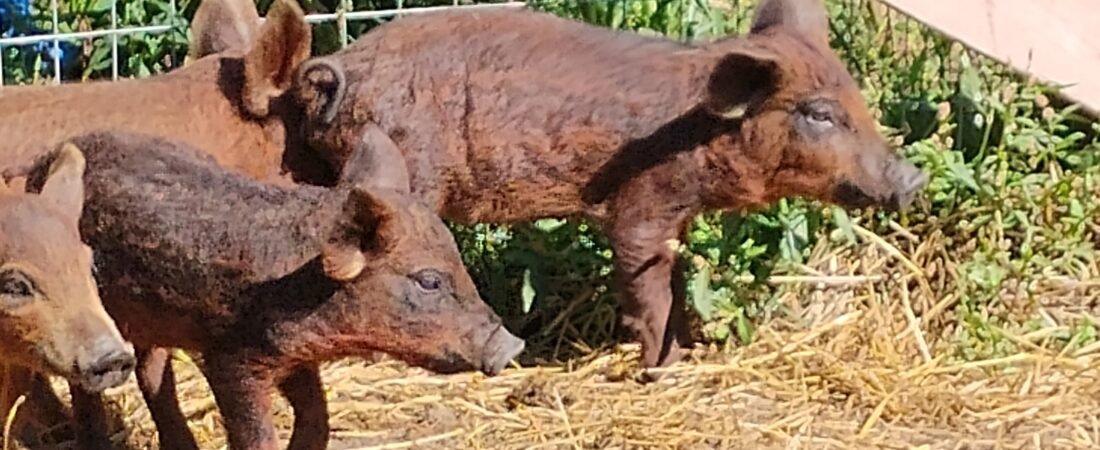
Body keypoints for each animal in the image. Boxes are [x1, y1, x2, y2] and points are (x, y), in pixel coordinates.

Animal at [291, 0, 929, 369]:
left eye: (856, 99)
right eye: (819, 114)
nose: (913, 177)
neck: (696, 132)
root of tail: (341, 71)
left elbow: (674, 282)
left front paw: (687, 351)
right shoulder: (641, 203)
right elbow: (647, 284)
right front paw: (661, 368)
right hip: (410, 175)